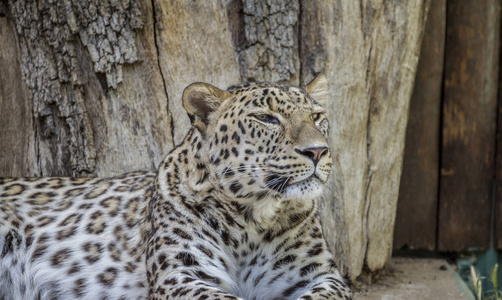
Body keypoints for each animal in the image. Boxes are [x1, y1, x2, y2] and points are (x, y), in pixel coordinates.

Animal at [0, 73, 352, 300]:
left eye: (317, 116)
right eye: (266, 119)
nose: (318, 151)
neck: (253, 218)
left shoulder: (321, 275)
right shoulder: (181, 274)